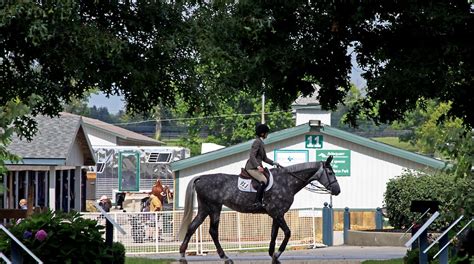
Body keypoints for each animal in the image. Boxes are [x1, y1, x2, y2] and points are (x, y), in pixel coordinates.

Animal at [179, 156, 340, 262]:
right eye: (330, 173)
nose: (337, 191)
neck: (286, 182)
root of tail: (201, 178)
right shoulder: (278, 214)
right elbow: (287, 233)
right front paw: (276, 255)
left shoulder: (276, 214)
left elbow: (274, 235)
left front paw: (272, 255)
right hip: (214, 208)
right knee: (213, 231)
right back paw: (225, 257)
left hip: (204, 209)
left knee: (192, 227)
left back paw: (182, 255)